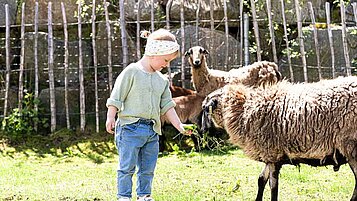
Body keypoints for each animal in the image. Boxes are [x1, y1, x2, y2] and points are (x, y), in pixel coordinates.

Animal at [202, 76, 356, 201]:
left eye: (205, 108)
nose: (202, 130)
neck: (244, 111)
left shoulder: (272, 154)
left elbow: (273, 186)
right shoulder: (270, 156)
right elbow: (261, 180)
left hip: (351, 147)